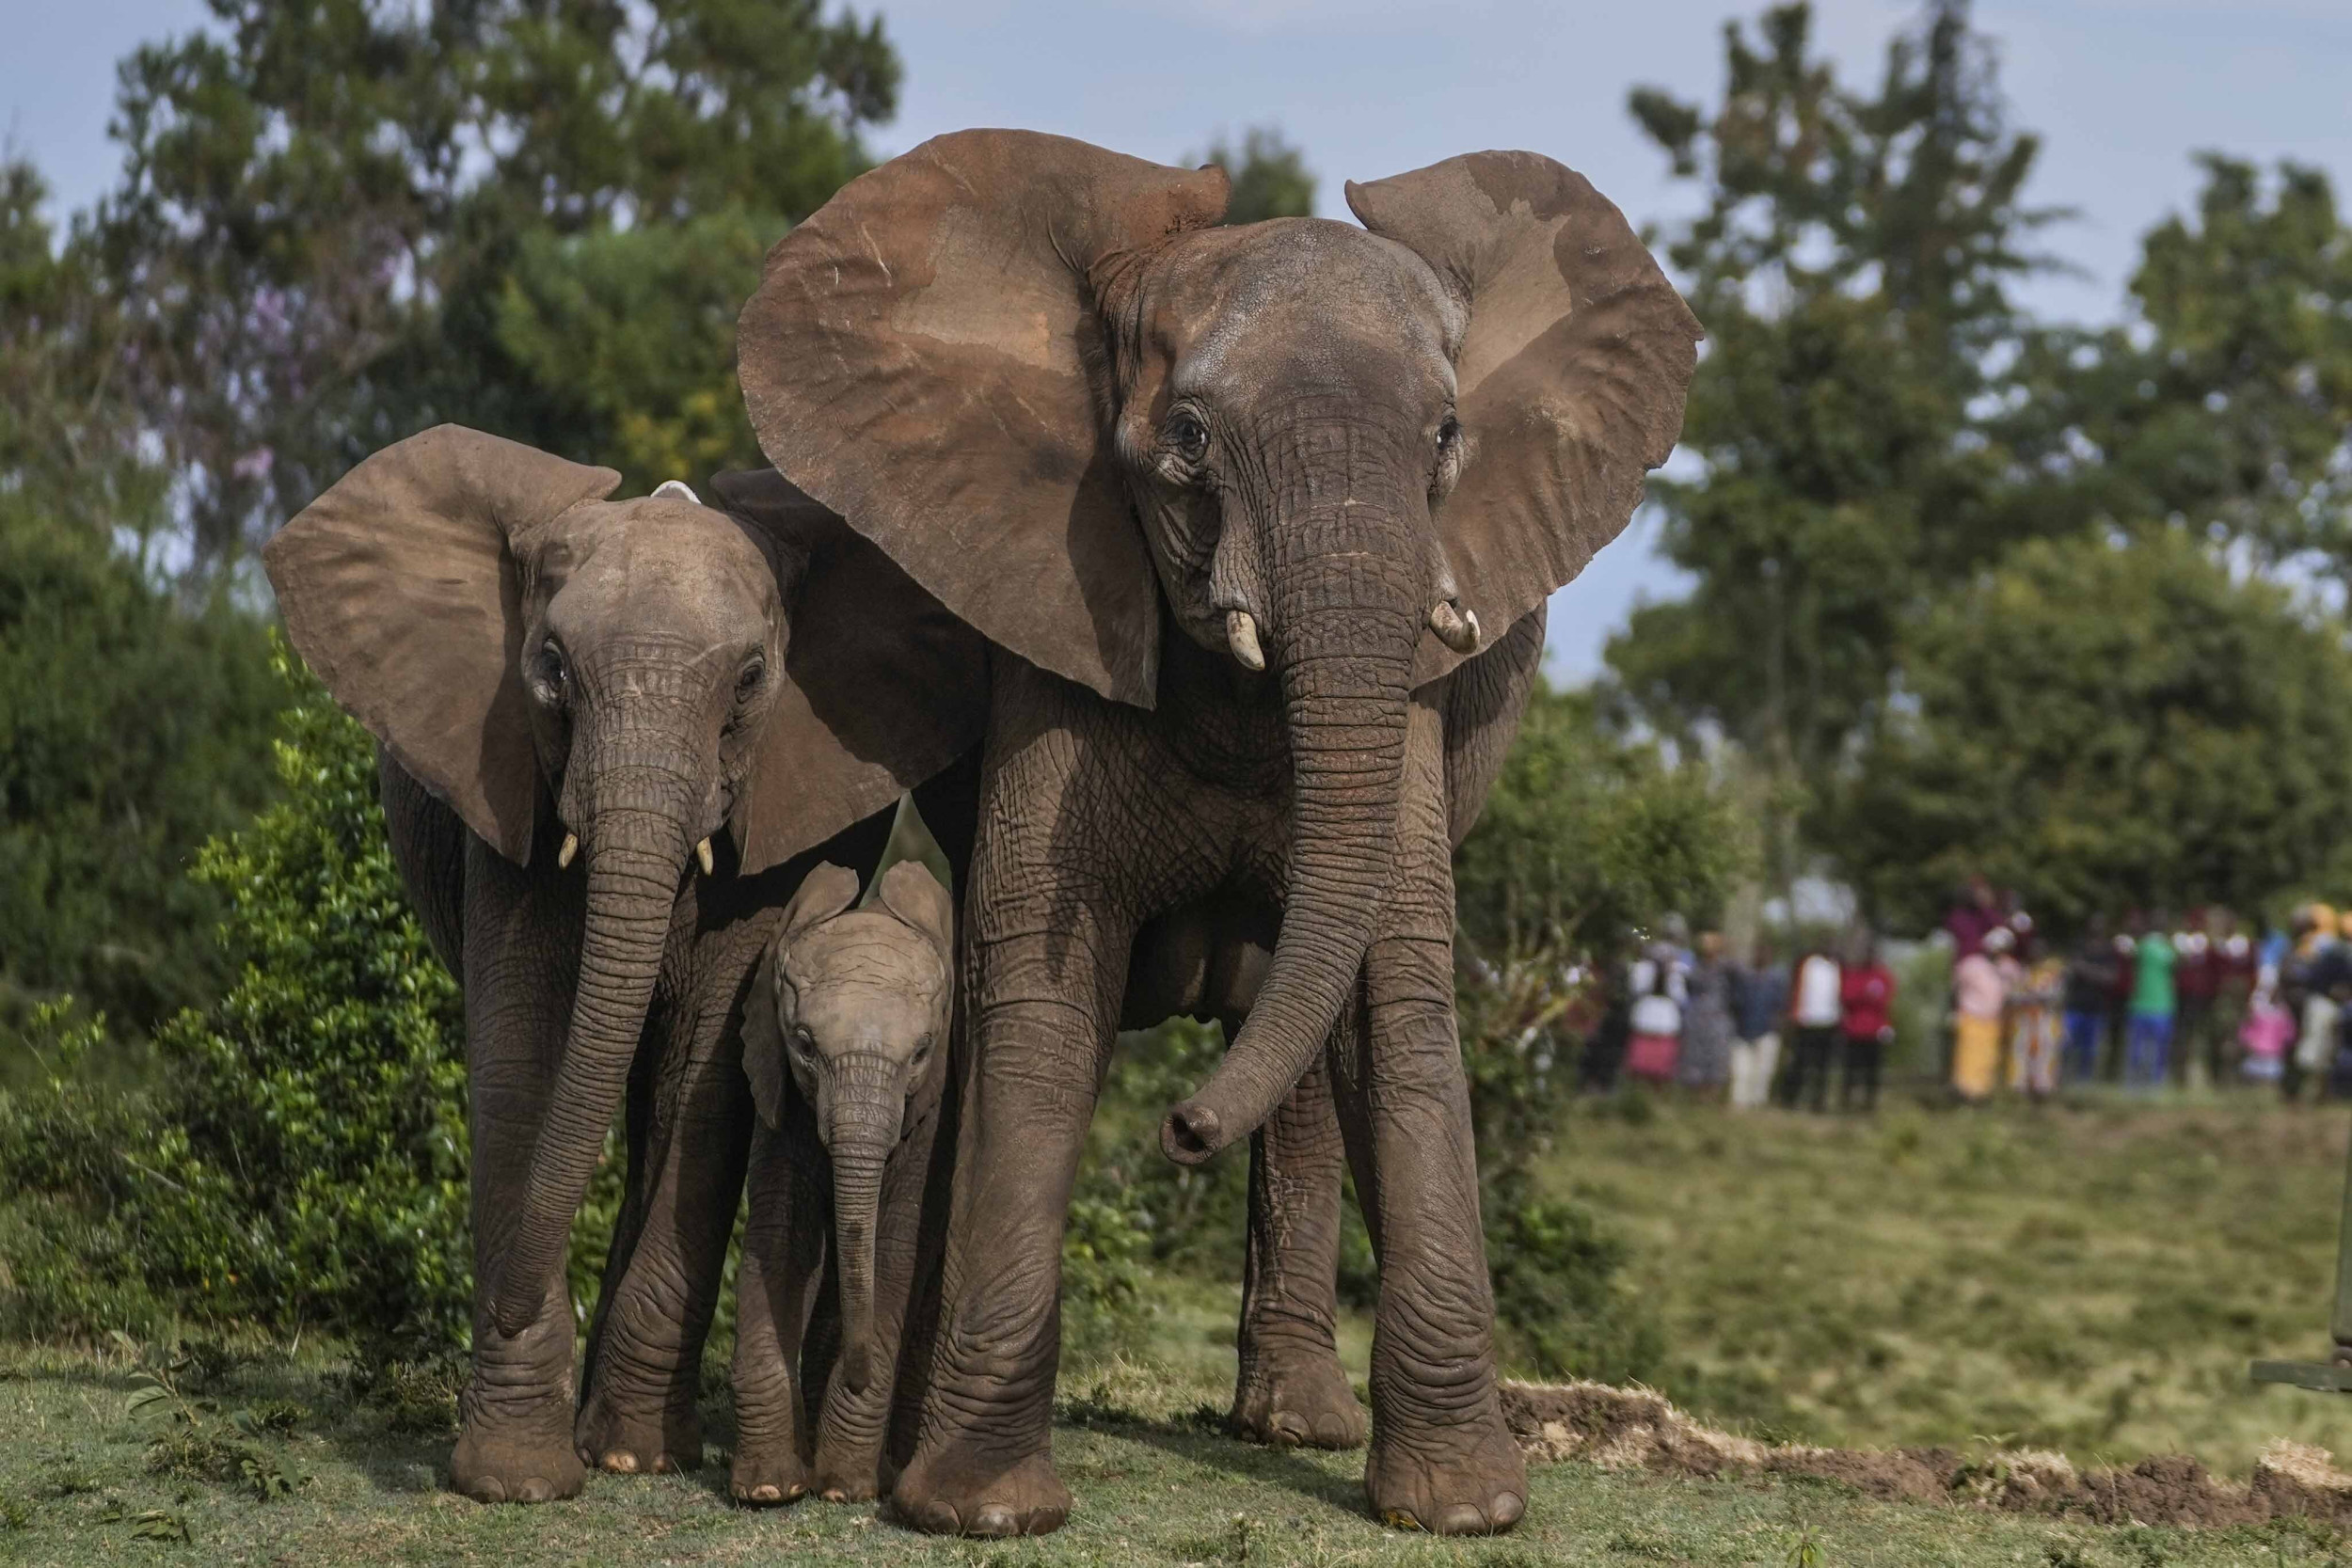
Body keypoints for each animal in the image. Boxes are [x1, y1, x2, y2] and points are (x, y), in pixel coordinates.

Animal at [734, 860, 955, 1504]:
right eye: (806, 1045)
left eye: (922, 1052)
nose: (858, 1376)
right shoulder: (780, 1095)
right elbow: (781, 1238)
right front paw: (771, 1487)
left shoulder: (930, 1114)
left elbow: (895, 1246)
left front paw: (843, 1487)